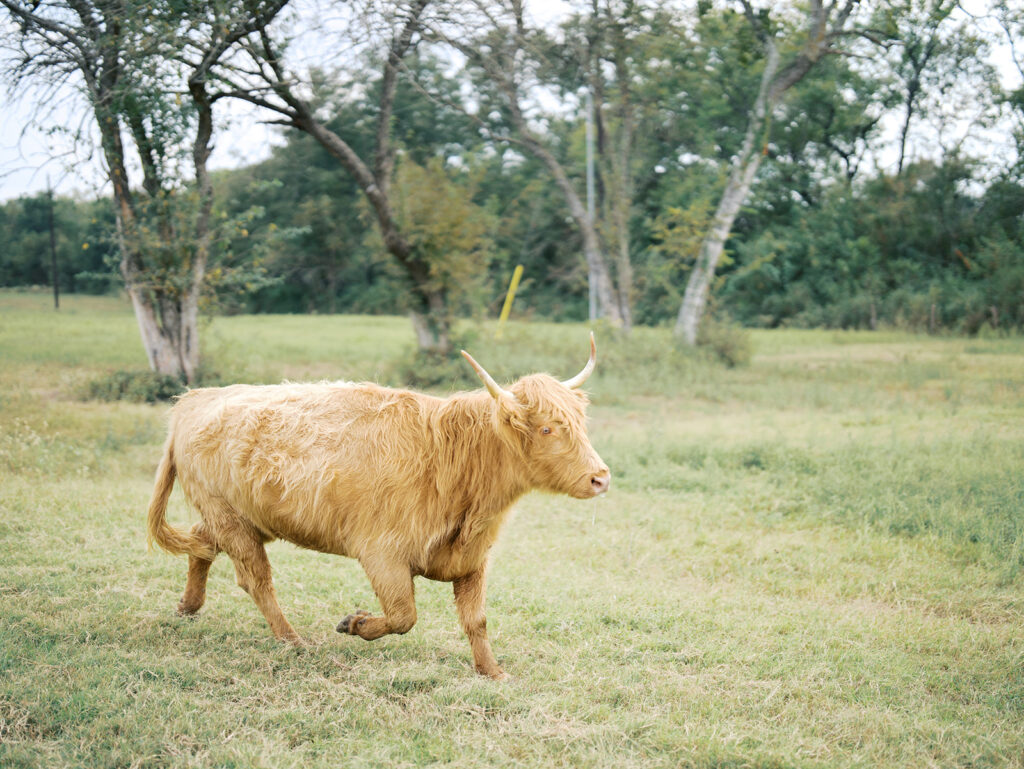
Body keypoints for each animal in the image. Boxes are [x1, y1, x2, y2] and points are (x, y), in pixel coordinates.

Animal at [146, 333, 610, 679]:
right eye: (547, 428)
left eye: (580, 423)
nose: (600, 477)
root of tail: (192, 400)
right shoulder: (382, 555)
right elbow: (404, 616)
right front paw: (354, 624)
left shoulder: (472, 560)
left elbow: (476, 621)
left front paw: (492, 672)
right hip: (230, 519)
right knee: (256, 580)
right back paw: (293, 640)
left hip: (239, 517)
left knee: (202, 545)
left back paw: (188, 607)